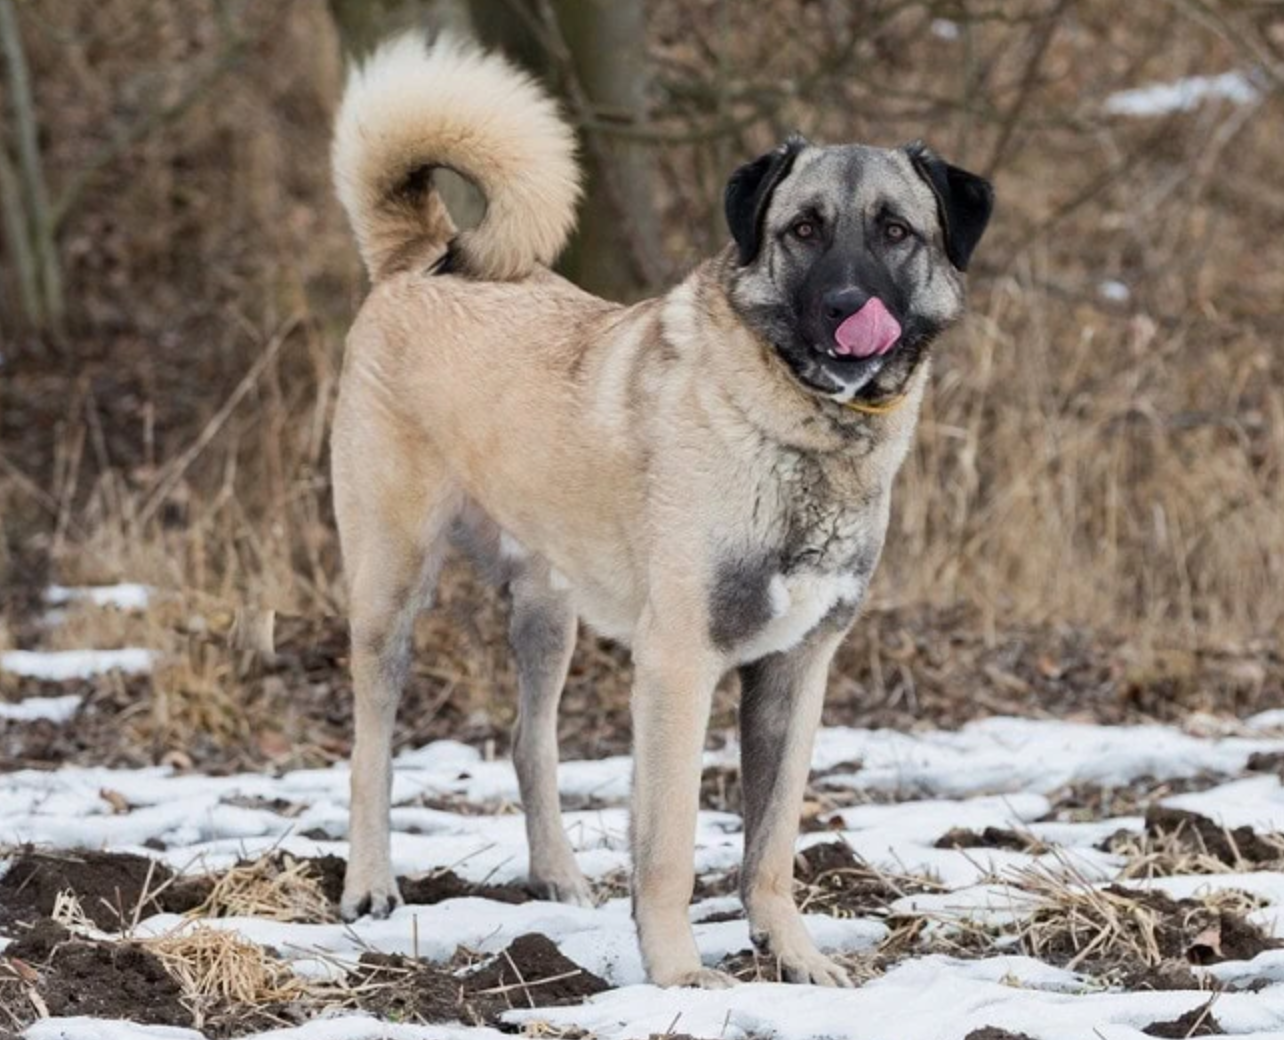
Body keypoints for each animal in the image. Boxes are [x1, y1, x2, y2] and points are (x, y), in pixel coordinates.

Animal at [328, 34, 991, 991]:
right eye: (803, 229)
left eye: (896, 231)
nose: (845, 308)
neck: (798, 429)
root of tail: (423, 256)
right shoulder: (680, 667)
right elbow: (672, 845)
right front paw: (678, 976)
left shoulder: (796, 672)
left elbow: (771, 846)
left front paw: (793, 958)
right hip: (391, 591)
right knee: (370, 747)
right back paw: (371, 886)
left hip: (547, 614)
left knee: (531, 743)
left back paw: (559, 878)